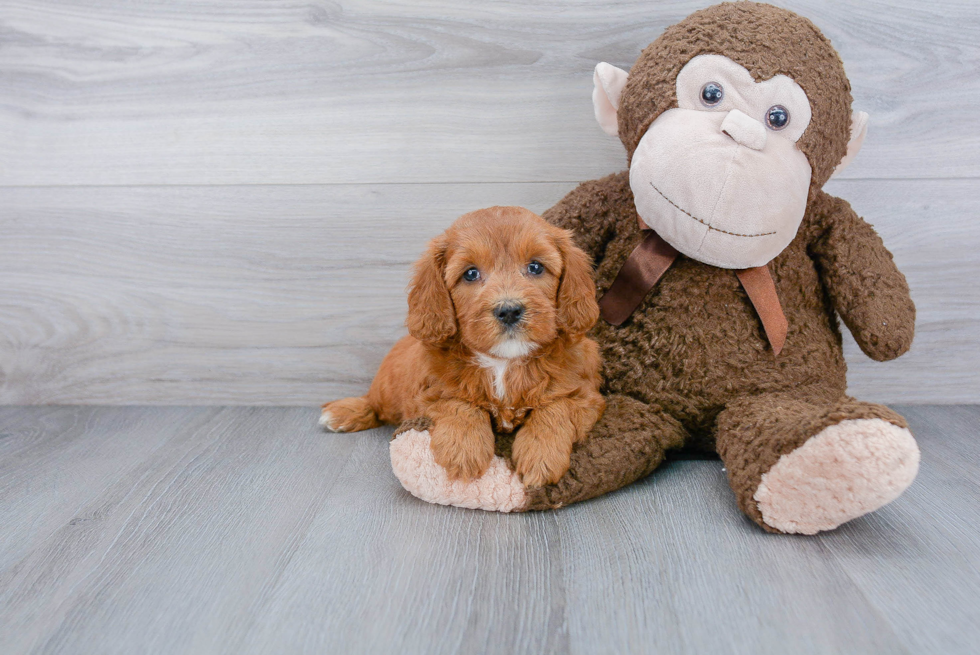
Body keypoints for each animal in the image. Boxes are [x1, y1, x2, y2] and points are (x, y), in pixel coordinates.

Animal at [322, 205, 600, 486]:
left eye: (535, 267)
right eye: (471, 274)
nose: (509, 311)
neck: (502, 362)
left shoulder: (587, 395)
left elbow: (556, 407)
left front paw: (541, 455)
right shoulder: (427, 395)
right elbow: (458, 403)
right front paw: (463, 451)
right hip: (388, 388)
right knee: (376, 404)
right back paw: (344, 412)